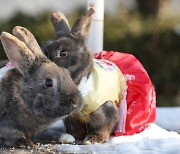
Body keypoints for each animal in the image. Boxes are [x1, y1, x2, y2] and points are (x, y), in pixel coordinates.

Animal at [43, 8, 126, 144]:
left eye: (63, 52)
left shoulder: (106, 110)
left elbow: (102, 127)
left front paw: (93, 139)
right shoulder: (71, 117)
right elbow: (75, 130)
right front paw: (67, 138)